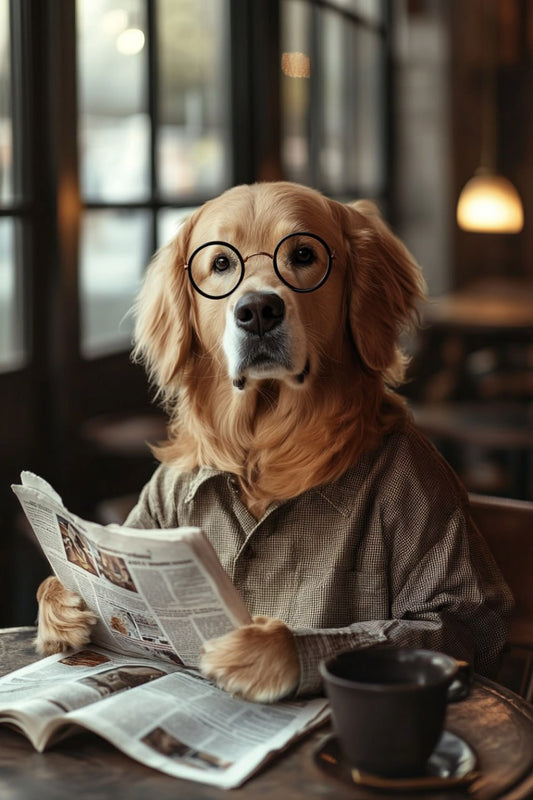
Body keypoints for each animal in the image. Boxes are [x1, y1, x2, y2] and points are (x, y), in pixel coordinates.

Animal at [35, 180, 510, 700]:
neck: (263, 439)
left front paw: (259, 650)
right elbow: (58, 578)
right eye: (221, 263)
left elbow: (446, 620)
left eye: (303, 254)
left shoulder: (424, 494)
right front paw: (65, 605)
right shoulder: (153, 509)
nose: (258, 310)